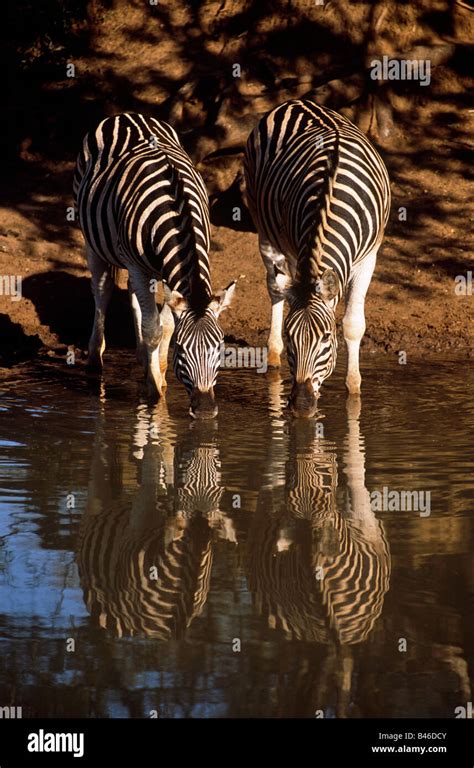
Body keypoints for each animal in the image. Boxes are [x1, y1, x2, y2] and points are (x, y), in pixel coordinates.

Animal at [73, 111, 235, 416]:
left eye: (220, 348)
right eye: (181, 350)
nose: (205, 410)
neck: (176, 210)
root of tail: (126, 114)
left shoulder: (170, 274)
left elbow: (166, 325)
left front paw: (157, 367)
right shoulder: (139, 267)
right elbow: (153, 329)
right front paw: (153, 387)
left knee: (133, 293)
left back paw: (140, 355)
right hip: (92, 239)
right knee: (102, 291)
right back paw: (95, 357)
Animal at [243, 99, 390, 416]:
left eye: (326, 338)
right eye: (291, 337)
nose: (301, 405)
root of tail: (295, 101)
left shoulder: (369, 257)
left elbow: (353, 324)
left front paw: (354, 389)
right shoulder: (297, 251)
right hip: (264, 226)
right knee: (275, 287)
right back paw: (273, 356)